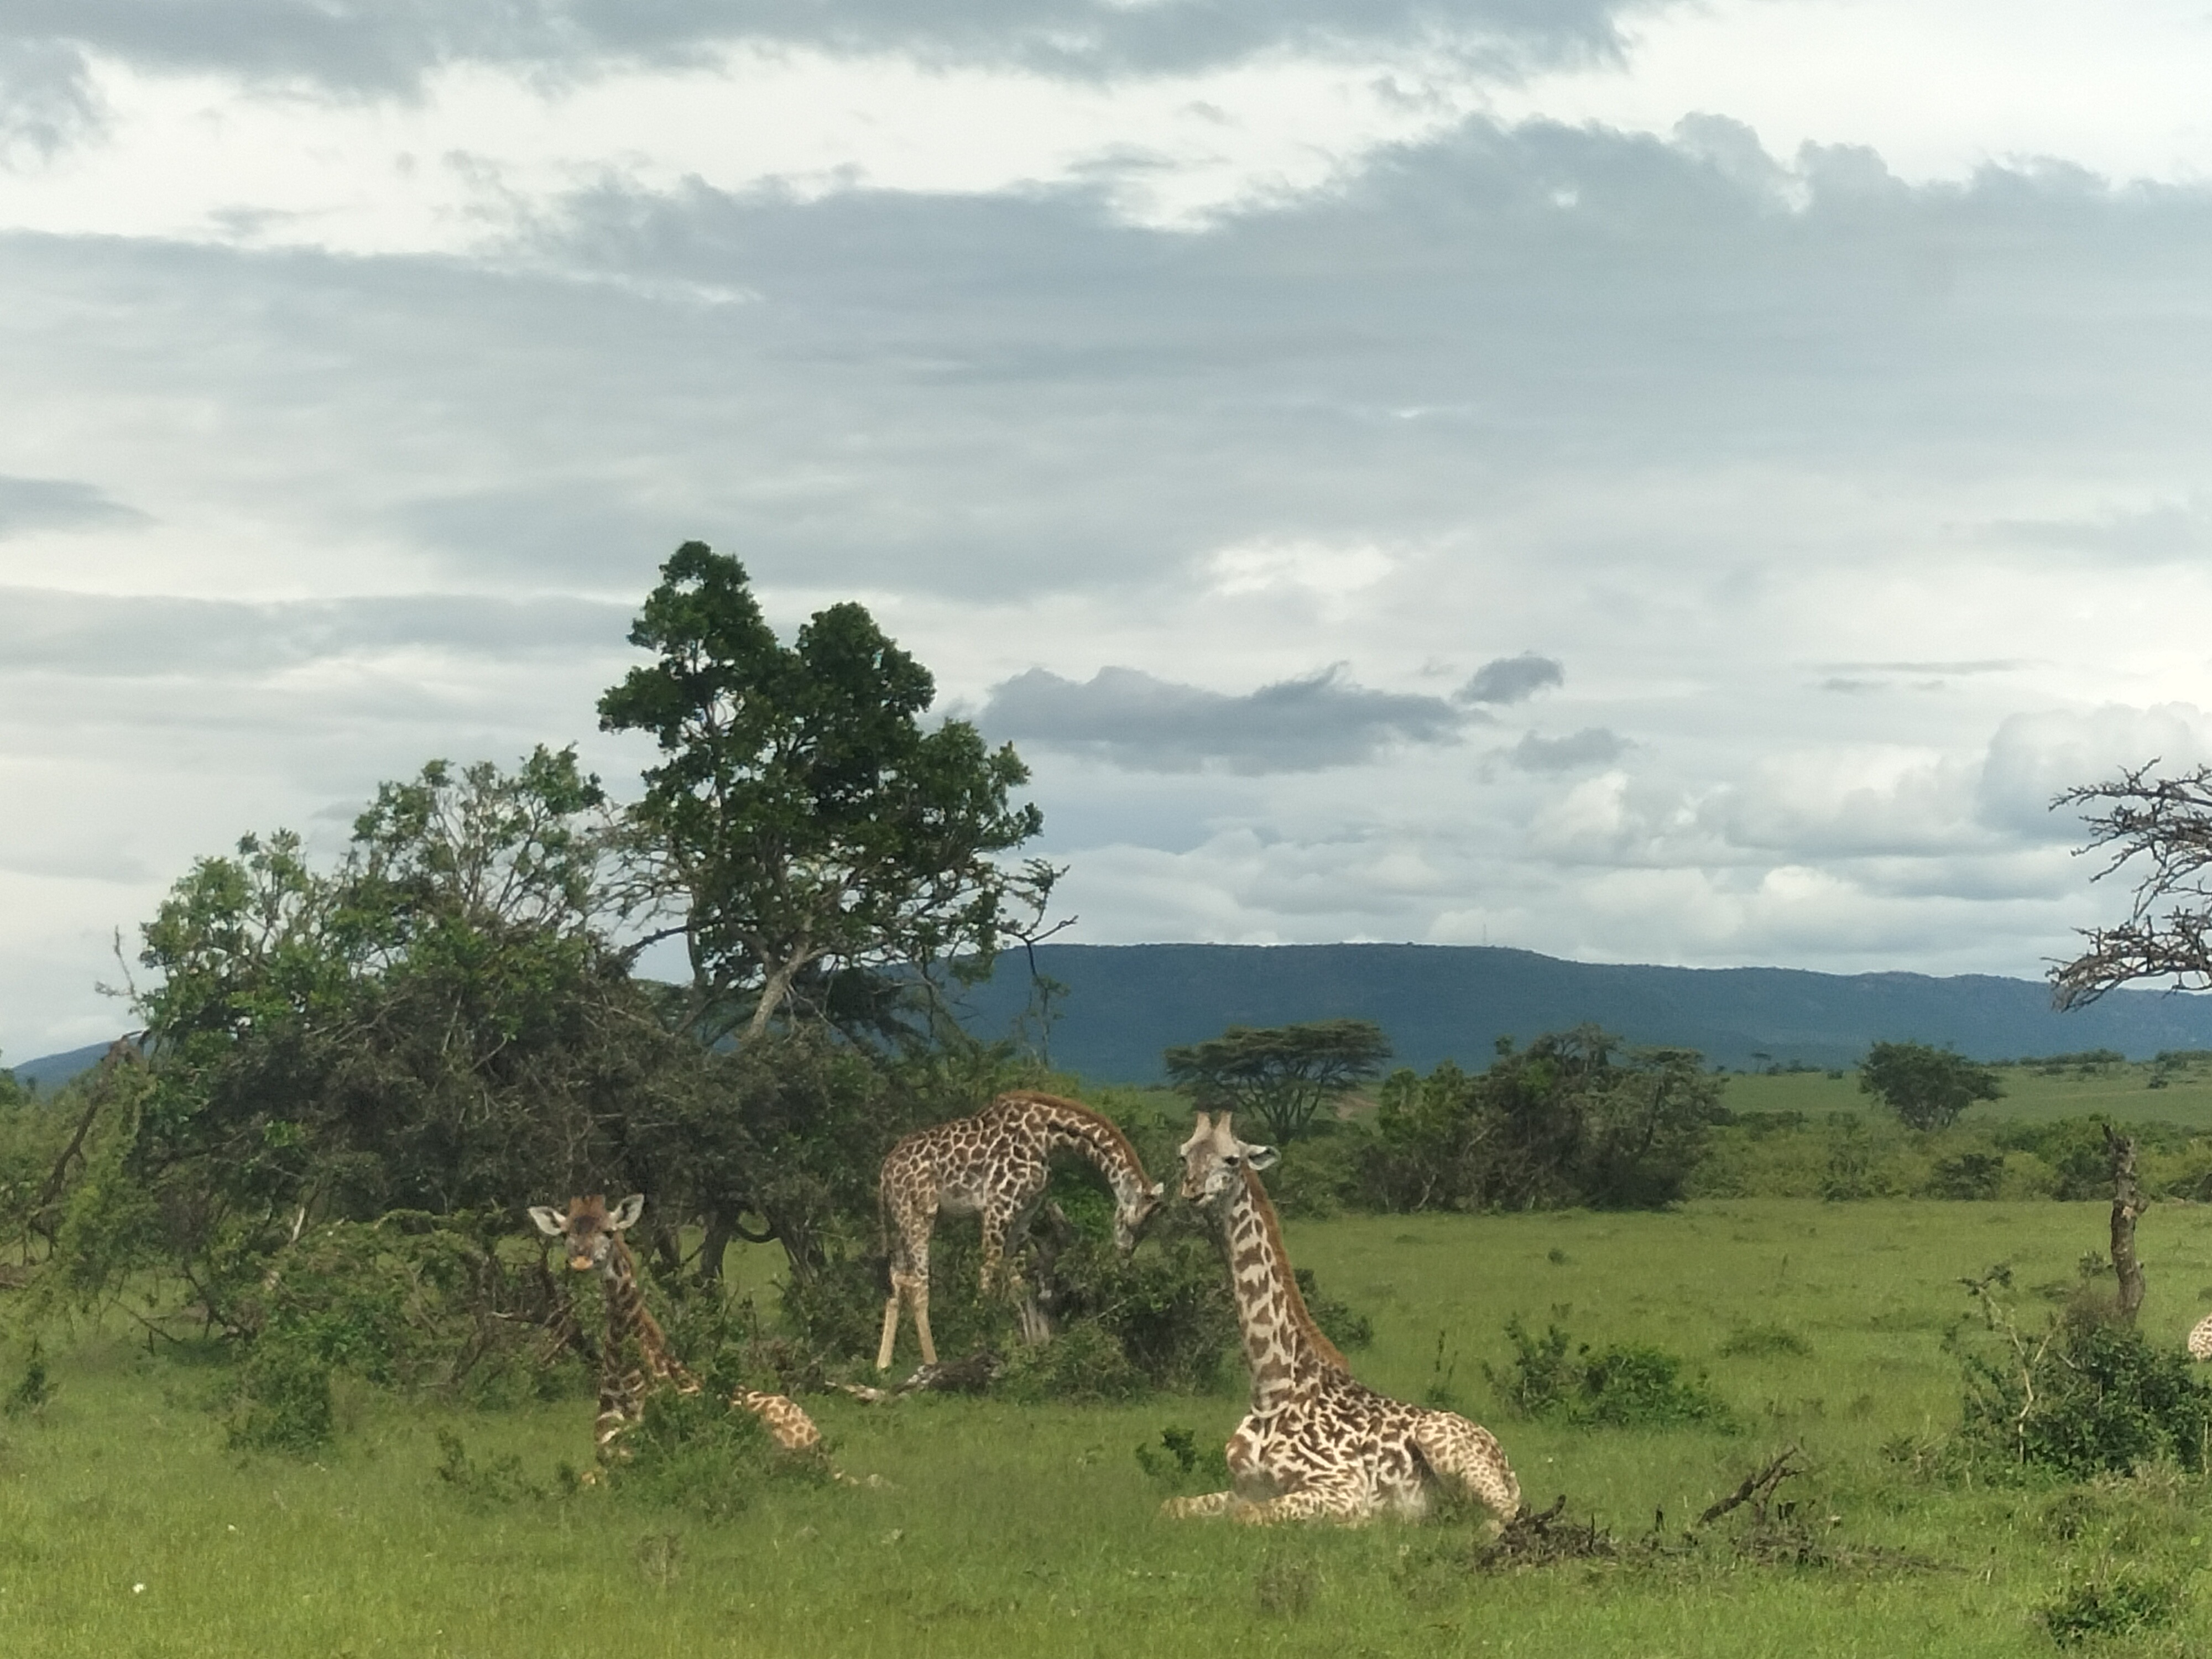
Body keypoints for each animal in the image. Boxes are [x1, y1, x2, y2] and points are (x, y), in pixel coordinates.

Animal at [531, 1203, 827, 1460]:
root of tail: (818, 1439)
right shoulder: (606, 1453)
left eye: (609, 1231)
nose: (581, 1260)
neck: (622, 1374)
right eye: (565, 1233)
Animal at [872, 1093, 1168, 1380]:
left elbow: (1019, 1284)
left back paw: (883, 1365)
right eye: (1132, 1224)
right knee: (918, 1284)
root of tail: (885, 1172)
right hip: (921, 1215)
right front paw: (979, 1342)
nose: (1125, 1257)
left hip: (899, 1222)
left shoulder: (1025, 1213)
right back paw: (932, 1363)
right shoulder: (997, 1207)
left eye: (1147, 1231)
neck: (1049, 1136)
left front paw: (1032, 1349)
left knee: (896, 1282)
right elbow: (989, 1272)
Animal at [1159, 1119, 1522, 1531]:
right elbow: (1172, 1506)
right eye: (1184, 1155)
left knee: (1505, 1514)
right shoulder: (1243, 1488)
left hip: (1442, 1443)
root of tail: (1507, 1463)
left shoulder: (1341, 1488)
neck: (1271, 1388)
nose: (1192, 1189)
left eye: (1232, 1159)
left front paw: (1360, 1524)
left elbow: (1249, 1515)